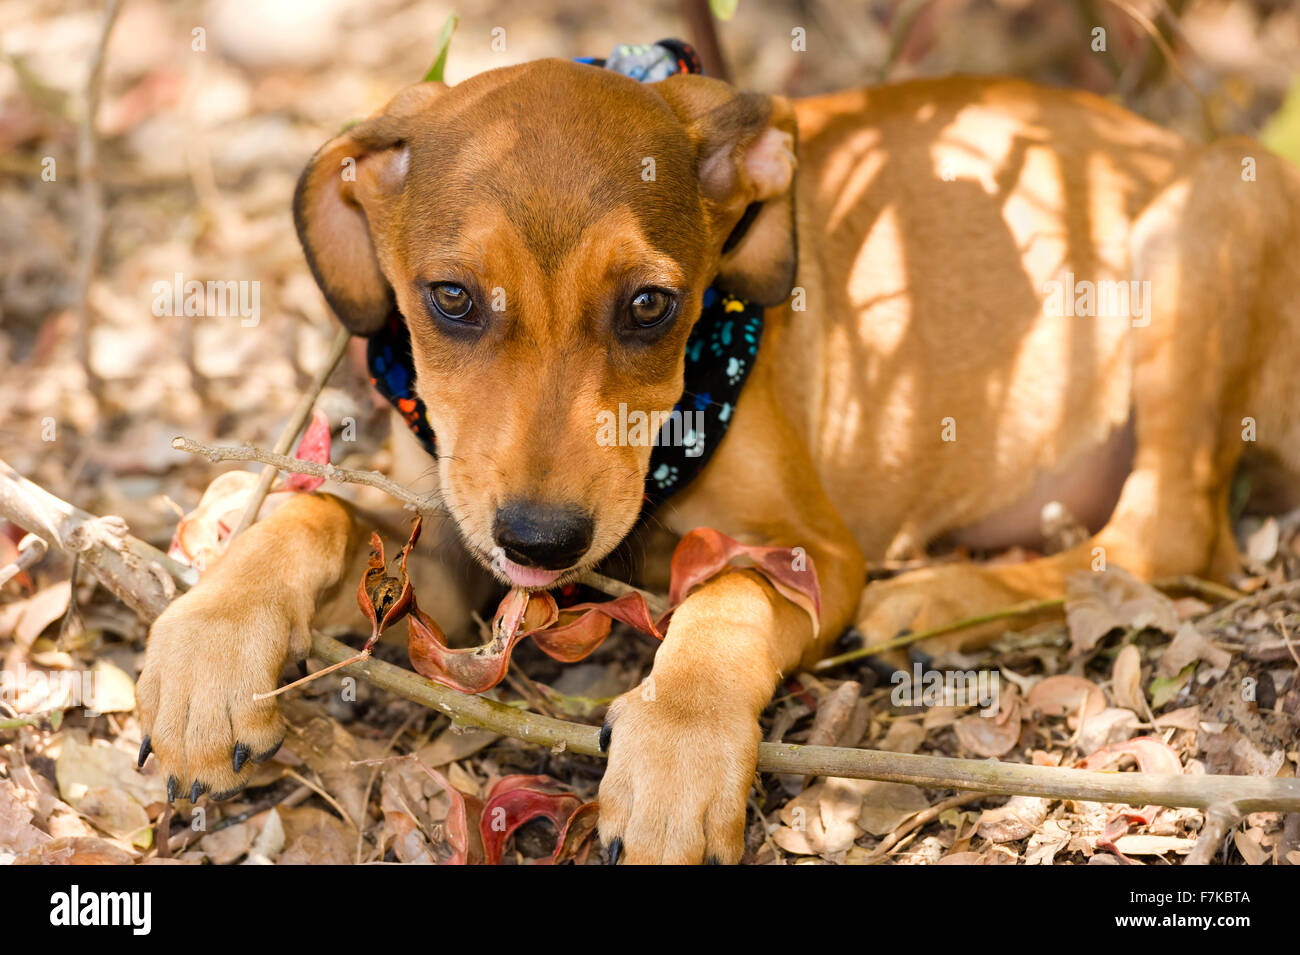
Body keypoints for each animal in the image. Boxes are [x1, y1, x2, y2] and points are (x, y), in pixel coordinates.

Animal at [137, 61, 1300, 867]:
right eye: (451, 299)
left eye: (651, 306)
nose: (544, 542)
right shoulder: (452, 564)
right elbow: (318, 513)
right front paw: (211, 638)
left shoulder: (812, 545)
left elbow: (730, 590)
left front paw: (677, 749)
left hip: (1207, 218)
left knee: (1164, 532)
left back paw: (940, 595)